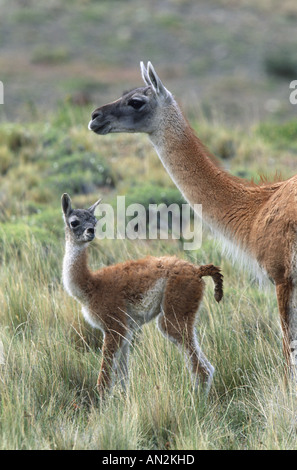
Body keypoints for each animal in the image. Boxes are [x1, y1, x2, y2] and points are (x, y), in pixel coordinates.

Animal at [60, 193, 222, 398]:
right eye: (74, 222)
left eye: (95, 221)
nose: (91, 231)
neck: (90, 286)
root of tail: (197, 270)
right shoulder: (125, 331)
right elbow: (123, 377)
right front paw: (124, 400)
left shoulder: (114, 325)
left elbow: (104, 381)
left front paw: (103, 404)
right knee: (208, 366)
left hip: (176, 308)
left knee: (202, 369)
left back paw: (198, 401)